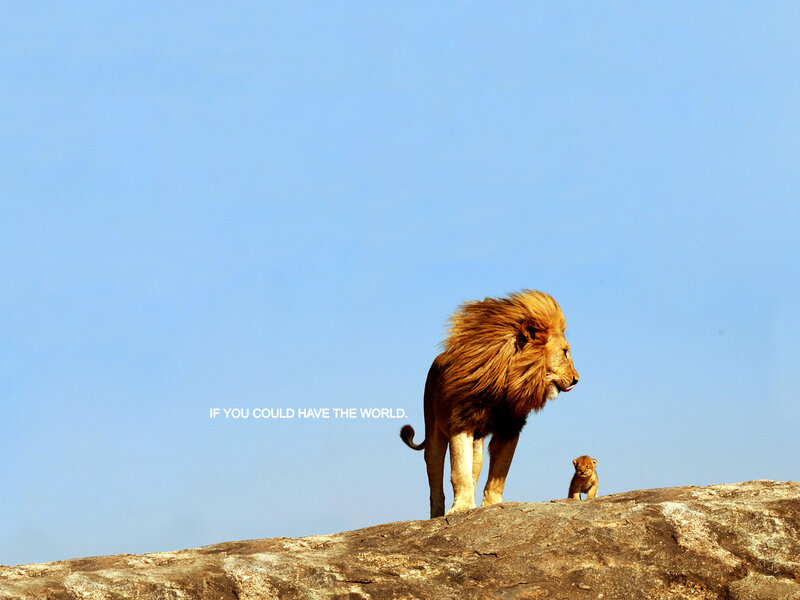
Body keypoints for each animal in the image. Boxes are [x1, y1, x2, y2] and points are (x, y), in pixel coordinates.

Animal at [400, 290, 578, 517]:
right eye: (565, 352)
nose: (576, 379)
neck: (507, 382)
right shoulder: (461, 422)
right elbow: (459, 471)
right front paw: (461, 508)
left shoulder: (510, 428)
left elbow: (499, 473)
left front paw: (491, 505)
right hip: (433, 432)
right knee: (435, 478)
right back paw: (437, 514)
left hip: (478, 445)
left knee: (474, 470)